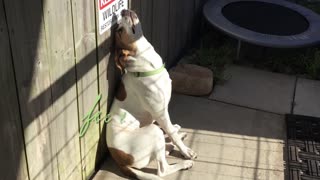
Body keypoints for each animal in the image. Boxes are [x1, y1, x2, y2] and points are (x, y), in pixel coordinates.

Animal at [107, 9, 196, 180]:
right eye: (120, 30)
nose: (122, 10)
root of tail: (119, 160)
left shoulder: (161, 113)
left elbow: (170, 130)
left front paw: (175, 133)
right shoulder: (160, 113)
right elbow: (171, 132)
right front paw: (185, 151)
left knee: (164, 149)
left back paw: (173, 140)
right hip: (152, 132)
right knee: (162, 170)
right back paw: (184, 162)